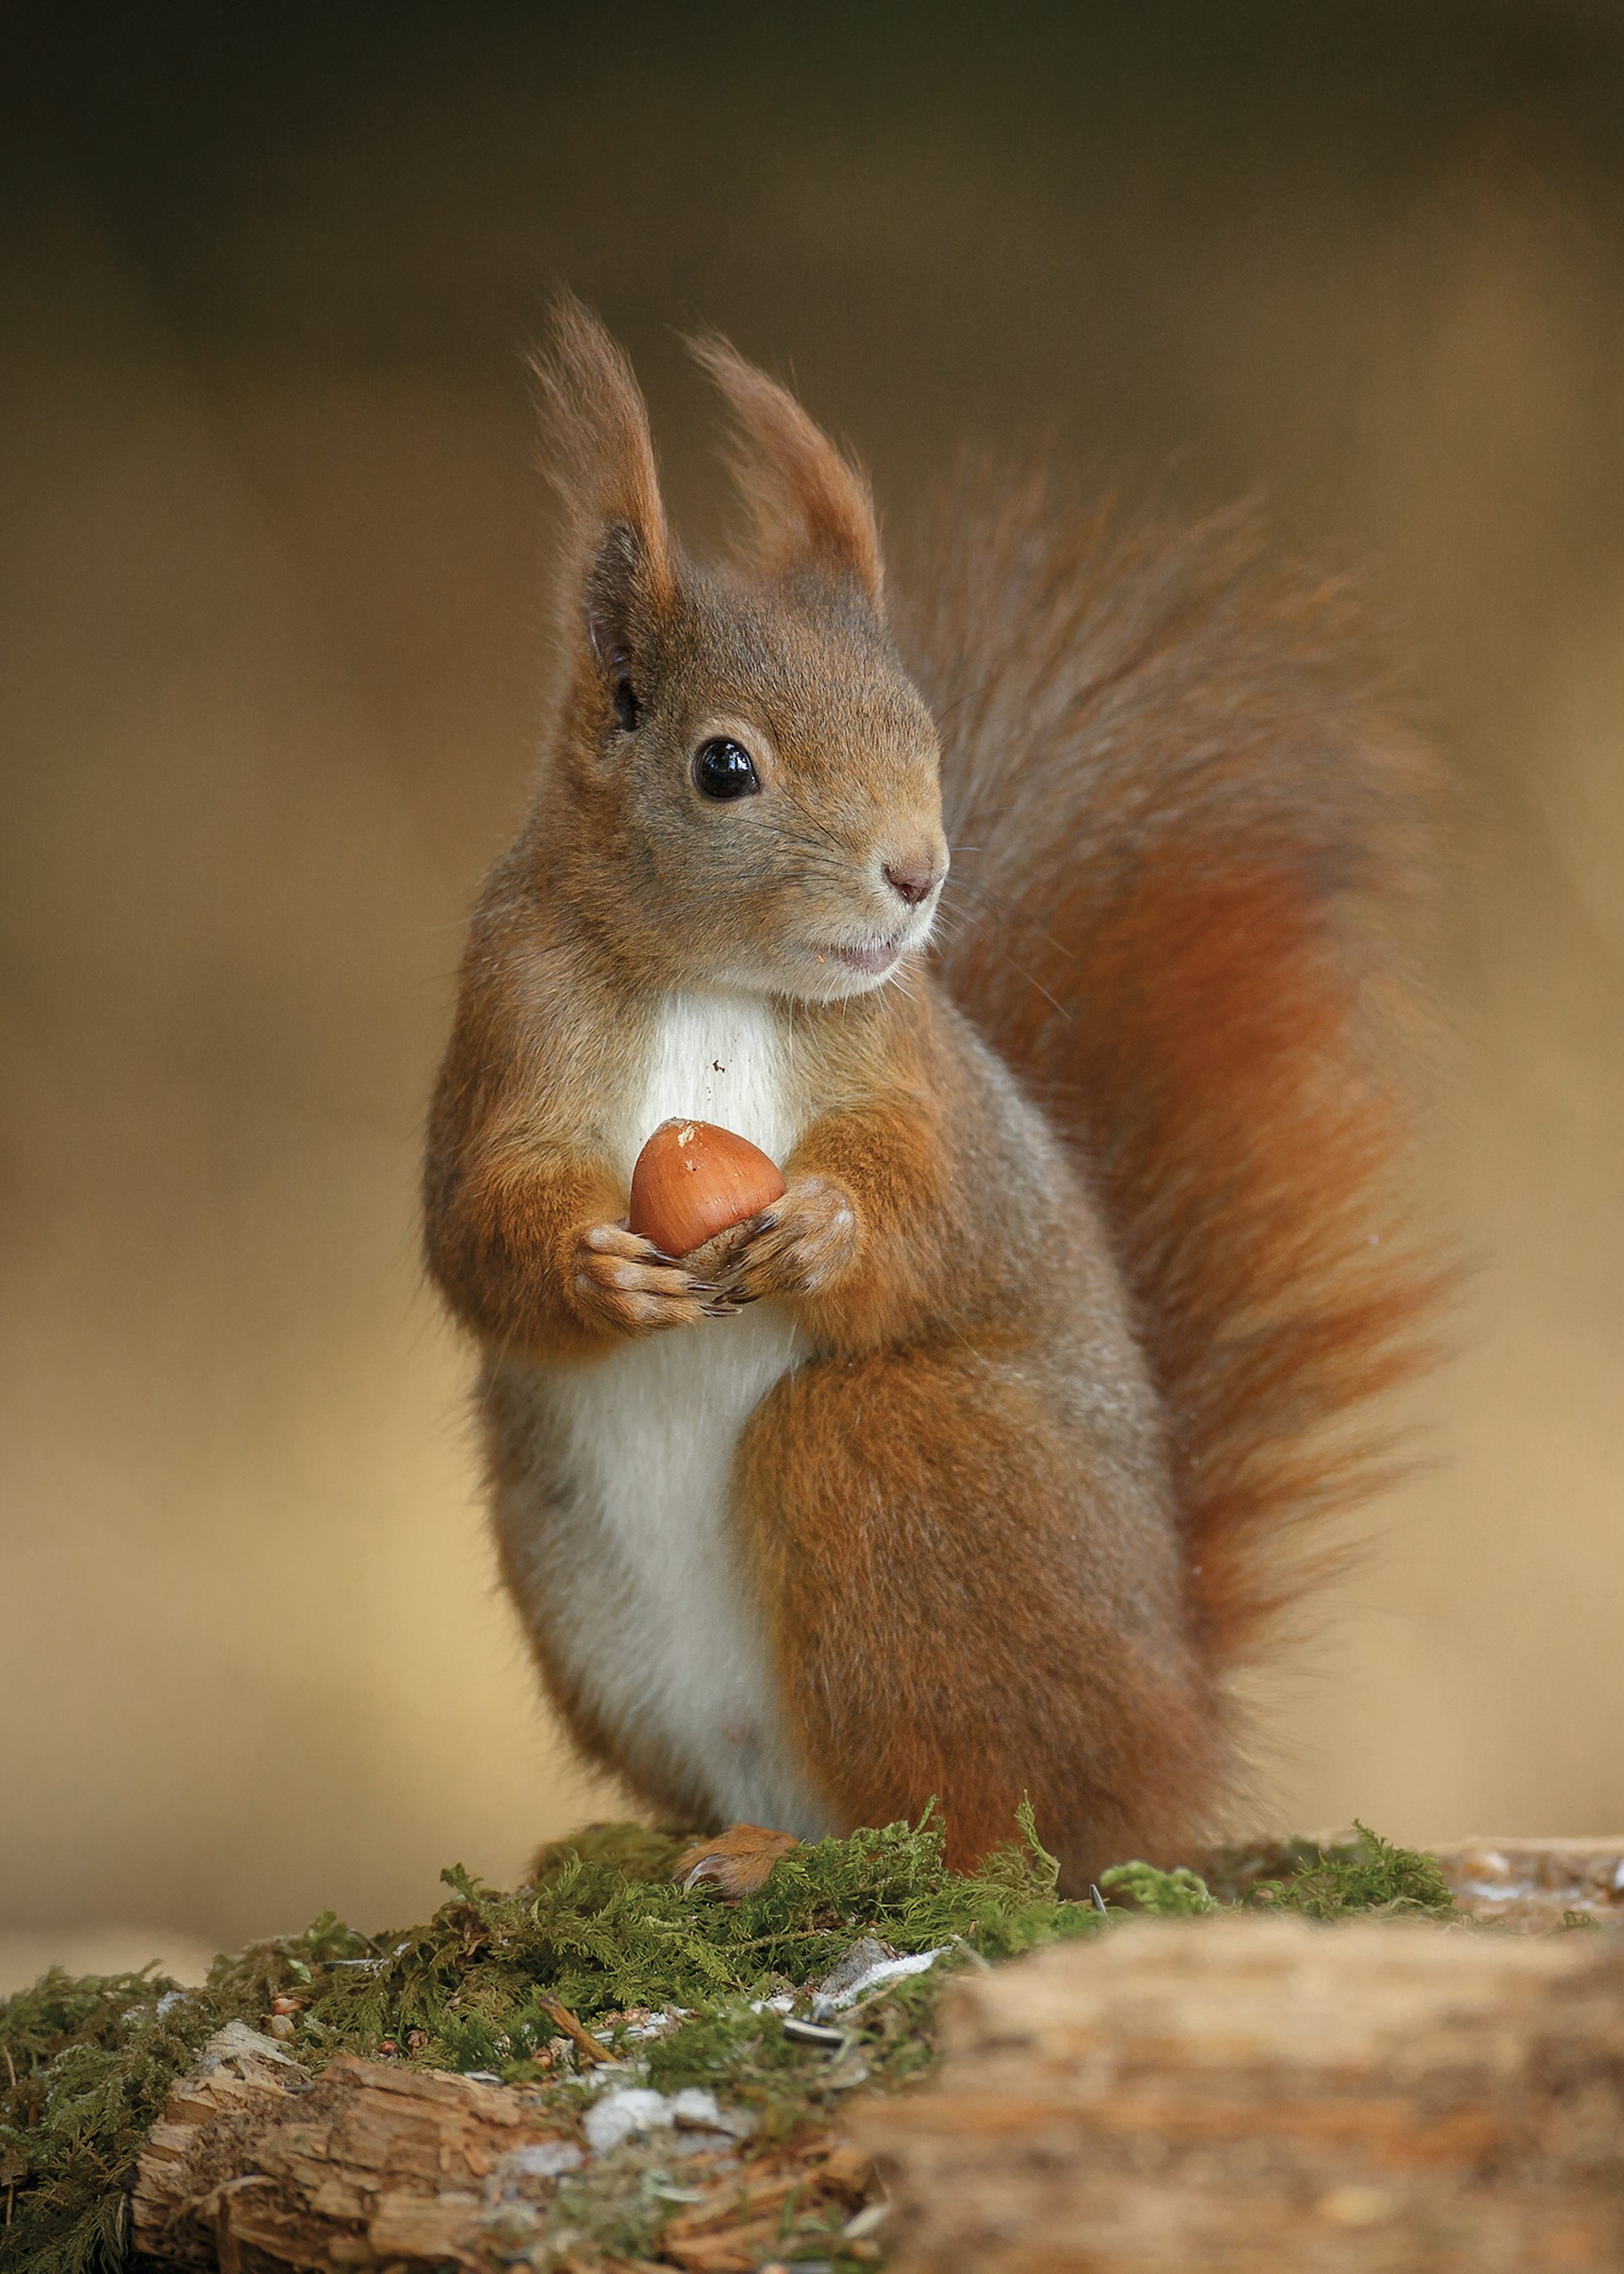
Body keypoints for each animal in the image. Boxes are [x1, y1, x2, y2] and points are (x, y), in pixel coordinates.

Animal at [423, 302, 1437, 1901]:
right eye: (724, 765)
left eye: (922, 729)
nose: (918, 874)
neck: (711, 979)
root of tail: (1170, 1742)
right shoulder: (506, 1019)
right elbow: (474, 1219)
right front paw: (593, 1271)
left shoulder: (916, 1070)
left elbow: (939, 1203)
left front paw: (828, 1230)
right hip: (575, 1580)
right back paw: (701, 1846)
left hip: (903, 1464)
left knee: (972, 1820)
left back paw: (824, 1857)